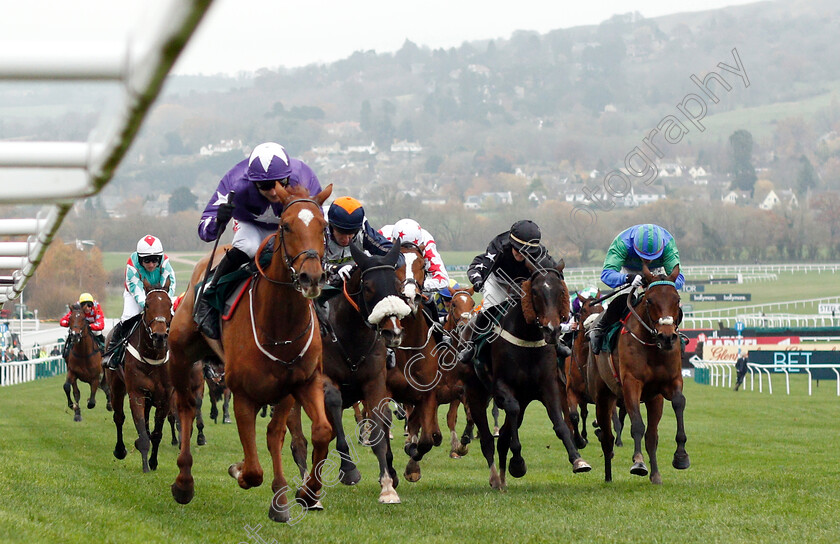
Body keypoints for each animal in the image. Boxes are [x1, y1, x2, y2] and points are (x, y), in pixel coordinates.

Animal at [107, 276, 175, 472]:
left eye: (169, 305)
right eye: (147, 305)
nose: (159, 336)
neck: (153, 356)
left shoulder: (165, 397)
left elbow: (156, 433)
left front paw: (153, 462)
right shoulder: (136, 393)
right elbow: (144, 434)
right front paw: (145, 466)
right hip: (116, 387)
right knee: (119, 417)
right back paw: (120, 450)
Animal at [167, 184, 334, 524]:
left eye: (323, 226)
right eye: (286, 226)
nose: (311, 277)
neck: (280, 325)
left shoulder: (300, 383)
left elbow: (313, 432)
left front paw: (301, 494)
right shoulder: (242, 393)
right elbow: (254, 470)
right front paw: (239, 470)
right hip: (180, 356)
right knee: (187, 408)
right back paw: (184, 482)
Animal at [462, 258, 592, 488]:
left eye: (561, 291)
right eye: (536, 292)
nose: (552, 330)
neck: (527, 339)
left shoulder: (549, 385)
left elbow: (560, 423)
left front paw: (578, 459)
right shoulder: (502, 387)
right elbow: (510, 415)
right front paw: (518, 462)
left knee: (503, 436)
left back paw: (502, 479)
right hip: (476, 394)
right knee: (487, 440)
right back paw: (495, 478)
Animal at [588, 264, 692, 484]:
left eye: (677, 299)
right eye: (650, 300)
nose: (667, 337)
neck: (653, 346)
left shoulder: (670, 382)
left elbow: (678, 403)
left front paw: (681, 456)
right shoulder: (631, 384)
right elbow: (636, 425)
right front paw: (638, 462)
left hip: (653, 400)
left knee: (652, 436)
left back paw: (655, 475)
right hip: (602, 396)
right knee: (607, 437)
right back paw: (608, 476)